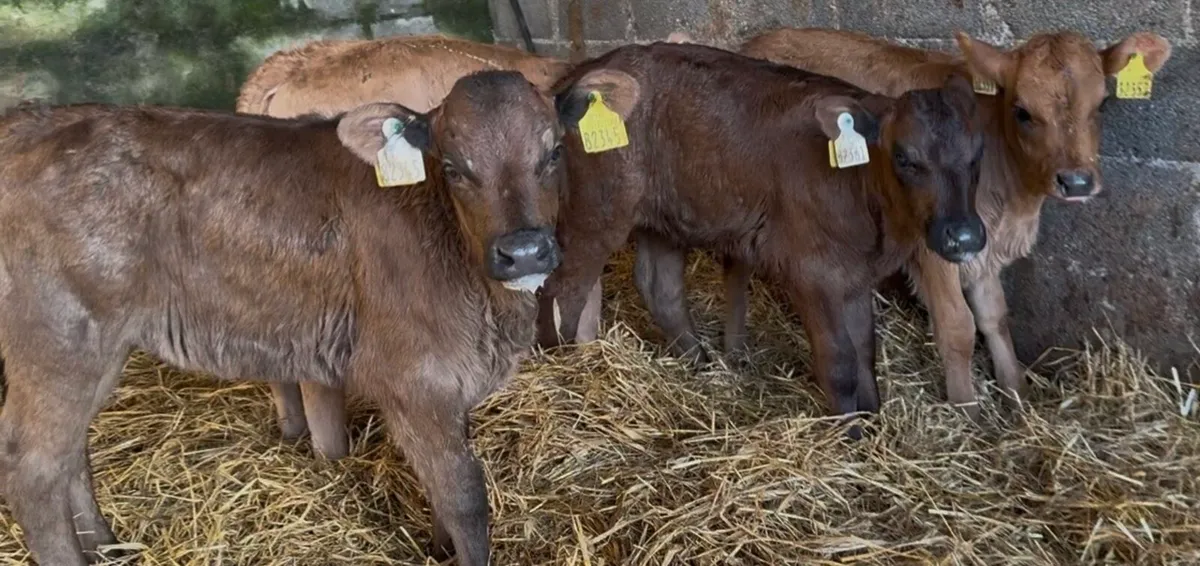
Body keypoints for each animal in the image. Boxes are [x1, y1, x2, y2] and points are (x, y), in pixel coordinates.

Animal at [0, 67, 631, 566]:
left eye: (554, 152)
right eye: (452, 166)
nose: (524, 251)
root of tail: (25, 123)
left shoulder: (449, 385)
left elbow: (440, 487)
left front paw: (436, 547)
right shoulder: (415, 379)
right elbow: (464, 496)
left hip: (94, 347)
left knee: (66, 454)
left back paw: (106, 546)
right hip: (57, 339)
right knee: (33, 469)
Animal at [534, 41, 986, 436]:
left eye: (978, 153)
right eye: (905, 158)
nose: (963, 235)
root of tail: (581, 73)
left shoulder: (855, 275)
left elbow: (865, 353)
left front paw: (873, 423)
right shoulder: (812, 273)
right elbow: (839, 361)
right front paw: (850, 436)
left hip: (663, 216)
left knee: (659, 287)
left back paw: (701, 364)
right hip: (595, 211)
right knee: (562, 288)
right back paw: (559, 368)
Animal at [738, 28, 1172, 418]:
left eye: (1102, 105)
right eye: (1022, 111)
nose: (1077, 181)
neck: (1014, 199)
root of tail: (759, 40)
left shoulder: (982, 245)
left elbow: (995, 316)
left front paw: (1017, 393)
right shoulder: (935, 249)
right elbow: (958, 326)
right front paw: (967, 410)